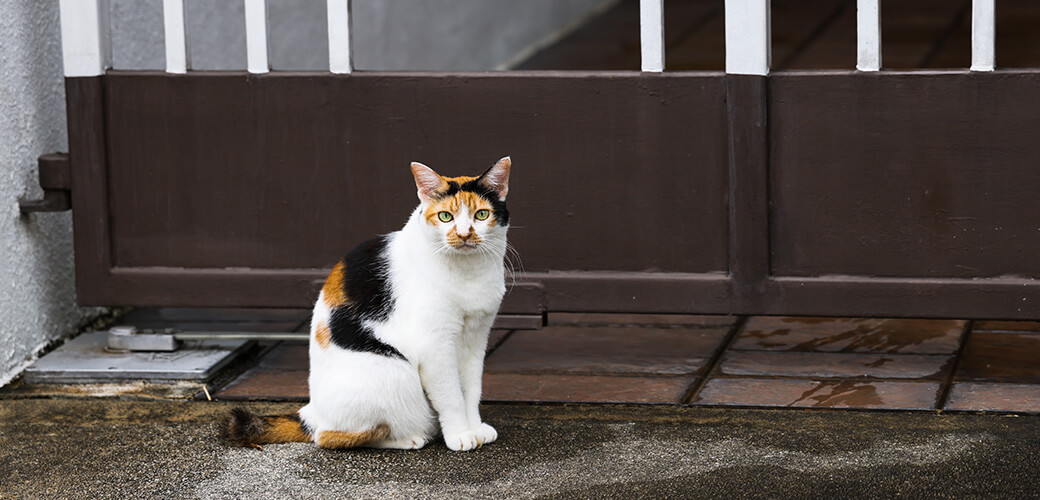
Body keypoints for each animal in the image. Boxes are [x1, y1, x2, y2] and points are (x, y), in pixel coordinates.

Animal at [223, 156, 511, 453]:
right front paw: (459, 434)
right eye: (445, 217)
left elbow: (471, 389)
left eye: (481, 215)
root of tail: (311, 412)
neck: (469, 273)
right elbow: (451, 395)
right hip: (394, 373)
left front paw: (475, 428)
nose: (464, 234)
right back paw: (410, 438)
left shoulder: (476, 338)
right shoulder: (435, 344)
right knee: (331, 436)